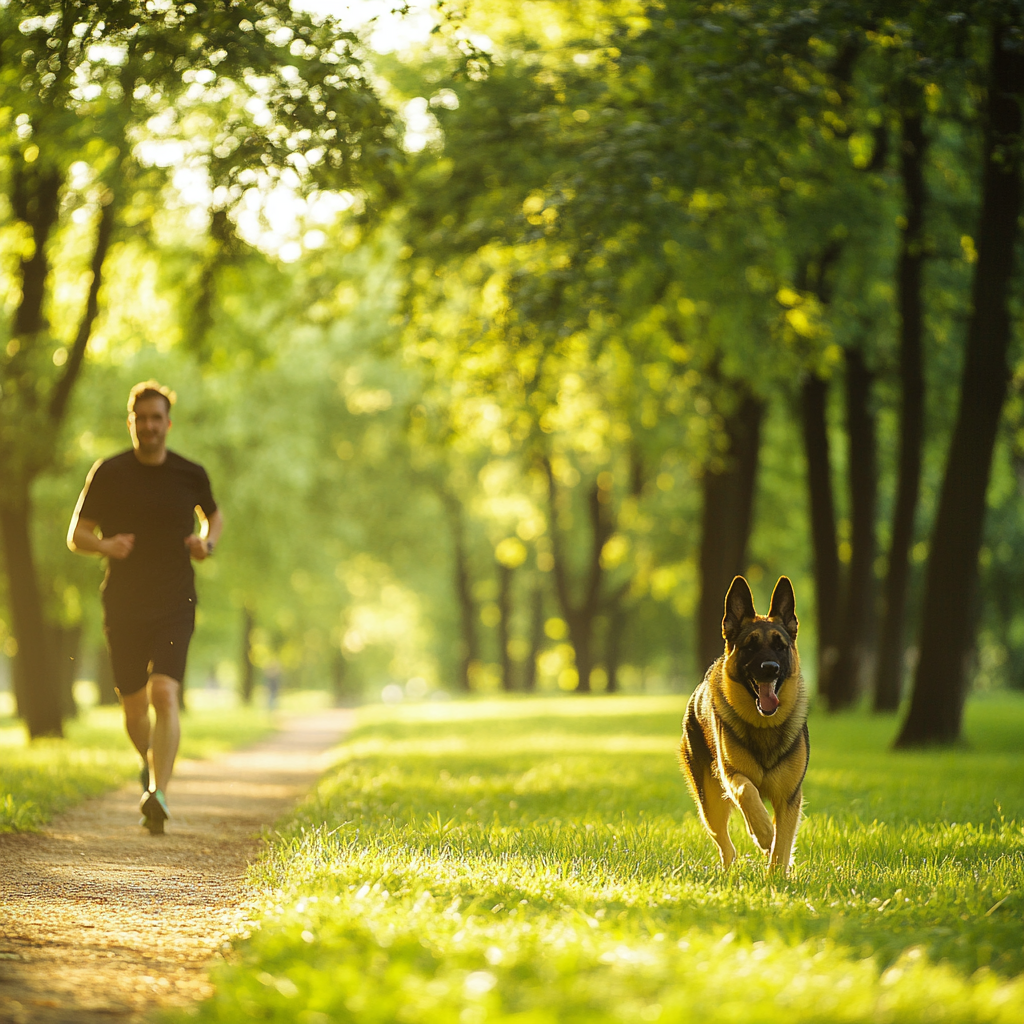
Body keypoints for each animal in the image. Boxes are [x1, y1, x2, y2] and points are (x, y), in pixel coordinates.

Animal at [679, 577, 806, 872]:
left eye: (780, 646)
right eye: (750, 645)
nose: (770, 668)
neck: (764, 726)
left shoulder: (789, 799)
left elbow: (782, 848)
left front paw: (777, 876)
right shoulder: (732, 775)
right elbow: (747, 791)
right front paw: (764, 833)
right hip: (710, 804)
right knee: (727, 847)